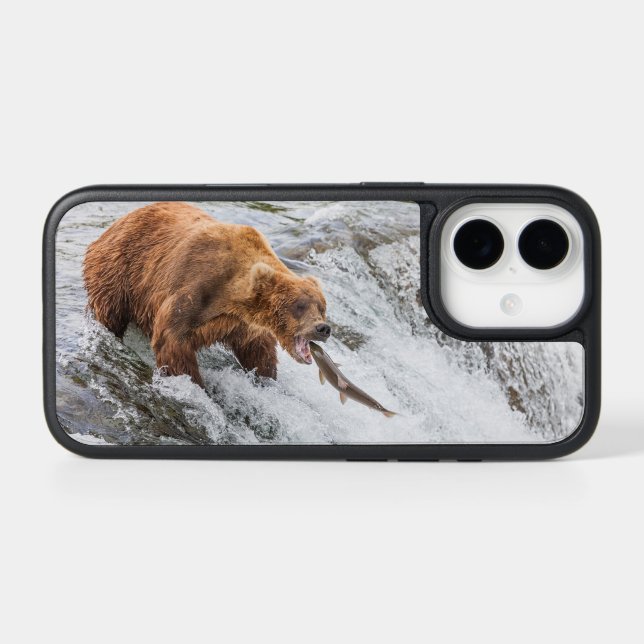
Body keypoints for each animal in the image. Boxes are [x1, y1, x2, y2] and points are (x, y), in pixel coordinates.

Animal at [83, 202, 331, 387]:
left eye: (321, 307)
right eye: (299, 306)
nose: (323, 328)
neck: (232, 296)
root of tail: (115, 224)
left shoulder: (241, 324)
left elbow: (258, 350)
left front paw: (266, 376)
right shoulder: (195, 289)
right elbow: (172, 340)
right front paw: (195, 383)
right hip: (119, 271)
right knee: (110, 312)